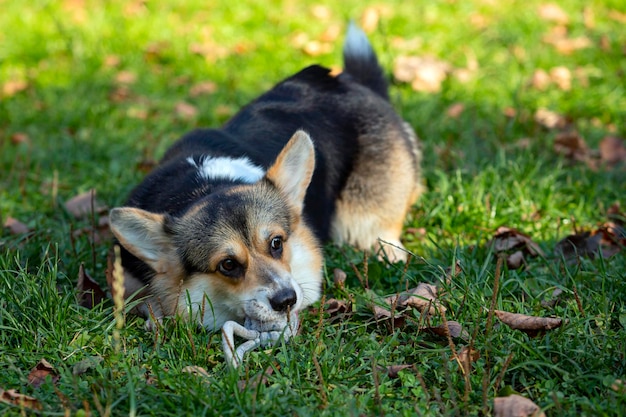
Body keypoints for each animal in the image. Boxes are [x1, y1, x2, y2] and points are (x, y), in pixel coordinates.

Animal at [107, 22, 422, 364]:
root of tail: (353, 83)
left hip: (367, 221)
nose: (286, 300)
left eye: (276, 243)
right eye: (227, 265)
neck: (204, 186)